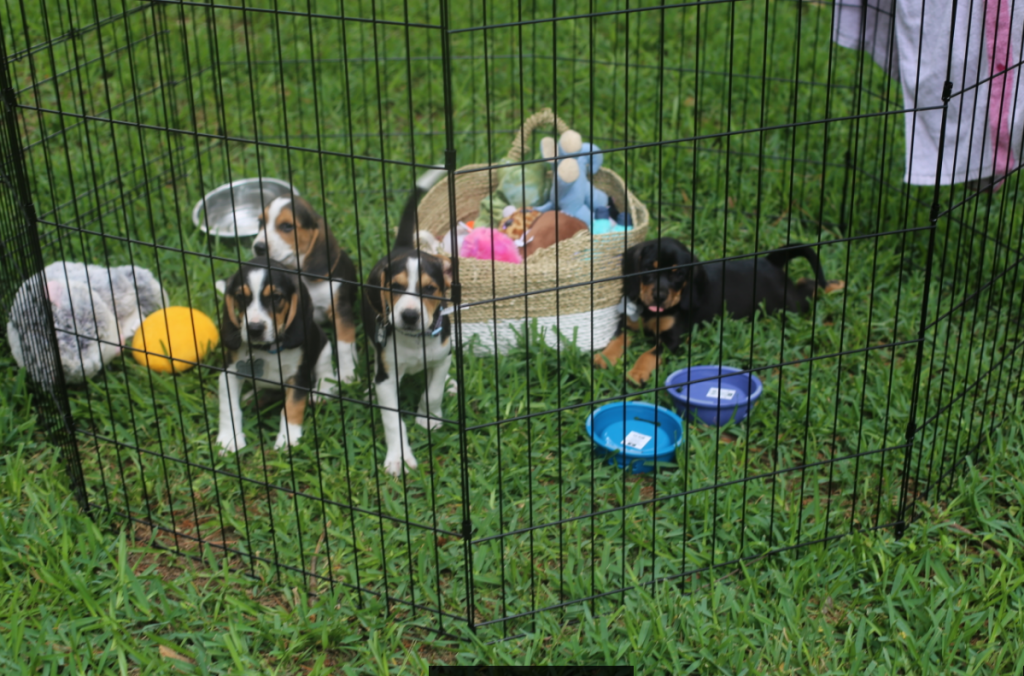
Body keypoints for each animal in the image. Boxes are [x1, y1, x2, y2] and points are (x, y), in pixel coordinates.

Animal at [216, 256, 333, 453]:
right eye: (240, 296)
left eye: (276, 297)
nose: (254, 329)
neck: (266, 349)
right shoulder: (229, 373)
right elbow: (229, 408)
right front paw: (229, 438)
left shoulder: (298, 376)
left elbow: (292, 407)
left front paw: (289, 439)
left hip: (325, 346)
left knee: (325, 371)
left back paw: (321, 393)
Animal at [252, 195, 360, 385]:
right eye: (260, 223)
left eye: (287, 226)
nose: (258, 247)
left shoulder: (340, 309)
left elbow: (344, 344)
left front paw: (348, 373)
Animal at [363, 181, 454, 477]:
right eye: (395, 287)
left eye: (430, 289)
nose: (410, 315)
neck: (415, 340)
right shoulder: (388, 377)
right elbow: (393, 420)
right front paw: (398, 457)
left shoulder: (442, 356)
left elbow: (433, 391)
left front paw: (429, 418)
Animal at [595, 238, 844, 384]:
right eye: (648, 268)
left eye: (678, 274)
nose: (659, 295)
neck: (651, 312)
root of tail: (769, 262)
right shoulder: (630, 326)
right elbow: (618, 339)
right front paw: (604, 357)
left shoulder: (673, 339)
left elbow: (649, 353)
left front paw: (637, 373)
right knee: (805, 282)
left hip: (789, 306)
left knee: (809, 288)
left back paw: (836, 284)